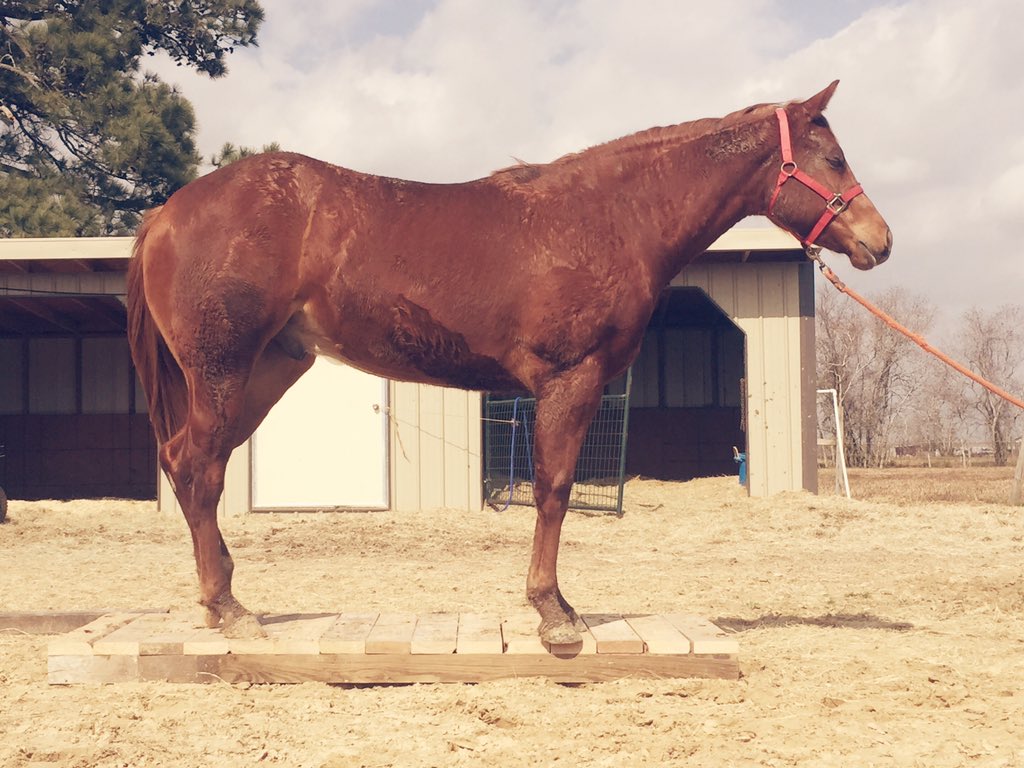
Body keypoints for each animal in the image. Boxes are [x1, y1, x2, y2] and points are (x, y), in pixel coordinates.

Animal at [127, 80, 892, 645]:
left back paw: (222, 596)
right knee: (199, 466)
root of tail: (166, 213)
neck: (610, 217)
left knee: (194, 464)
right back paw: (229, 609)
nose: (879, 241)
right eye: (832, 158)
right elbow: (553, 489)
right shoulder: (569, 380)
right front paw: (555, 612)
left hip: (269, 368)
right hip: (223, 368)